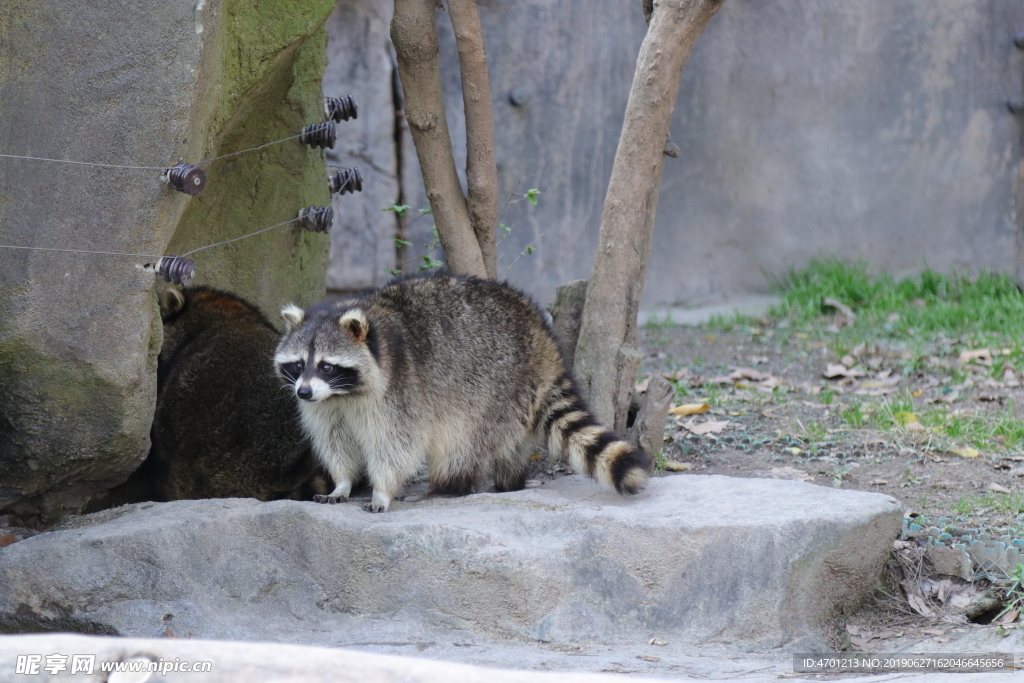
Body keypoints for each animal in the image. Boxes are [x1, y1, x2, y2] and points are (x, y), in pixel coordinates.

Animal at [276, 272, 651, 511]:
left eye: (326, 366)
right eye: (298, 364)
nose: (303, 393)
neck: (343, 394)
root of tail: (543, 339)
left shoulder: (399, 390)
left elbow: (396, 446)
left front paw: (382, 490)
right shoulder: (326, 406)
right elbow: (335, 441)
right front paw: (342, 483)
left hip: (496, 388)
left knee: (462, 443)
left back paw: (447, 487)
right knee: (508, 445)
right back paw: (510, 481)